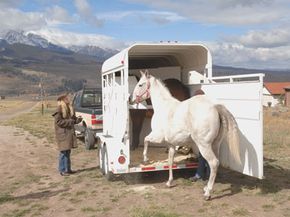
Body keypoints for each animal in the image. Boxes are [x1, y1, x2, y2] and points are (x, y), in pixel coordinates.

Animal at [131, 70, 240, 200]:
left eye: (140, 84)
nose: (131, 99)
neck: (164, 107)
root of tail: (214, 107)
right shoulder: (171, 144)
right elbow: (170, 161)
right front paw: (169, 182)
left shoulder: (157, 137)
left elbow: (146, 140)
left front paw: (145, 159)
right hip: (214, 144)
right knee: (214, 163)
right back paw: (206, 187)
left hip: (204, 145)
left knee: (213, 163)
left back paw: (207, 193)